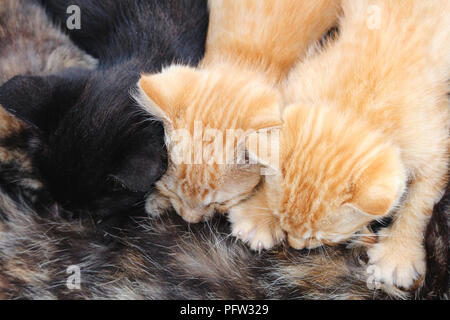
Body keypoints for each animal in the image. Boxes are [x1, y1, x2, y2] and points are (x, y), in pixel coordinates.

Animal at [232, 0, 450, 290]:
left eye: (322, 237)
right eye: (283, 221)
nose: (296, 246)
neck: (358, 106)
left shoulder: (437, 140)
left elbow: (421, 201)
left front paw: (398, 254)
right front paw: (258, 215)